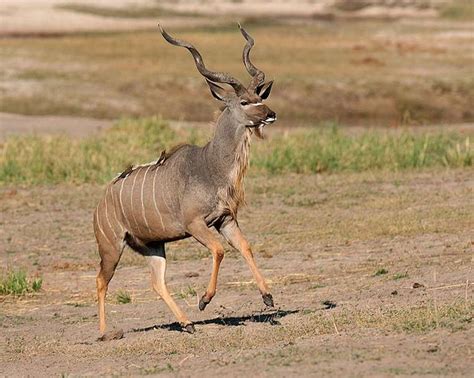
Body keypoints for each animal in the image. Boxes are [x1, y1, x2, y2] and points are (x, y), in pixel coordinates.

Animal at [94, 23, 276, 336]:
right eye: (244, 101)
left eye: (261, 98)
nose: (271, 114)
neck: (210, 166)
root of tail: (100, 204)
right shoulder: (195, 224)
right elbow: (219, 250)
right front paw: (204, 300)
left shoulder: (225, 220)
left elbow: (245, 247)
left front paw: (268, 297)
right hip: (112, 247)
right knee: (101, 280)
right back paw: (106, 333)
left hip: (154, 246)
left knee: (156, 282)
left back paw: (187, 323)